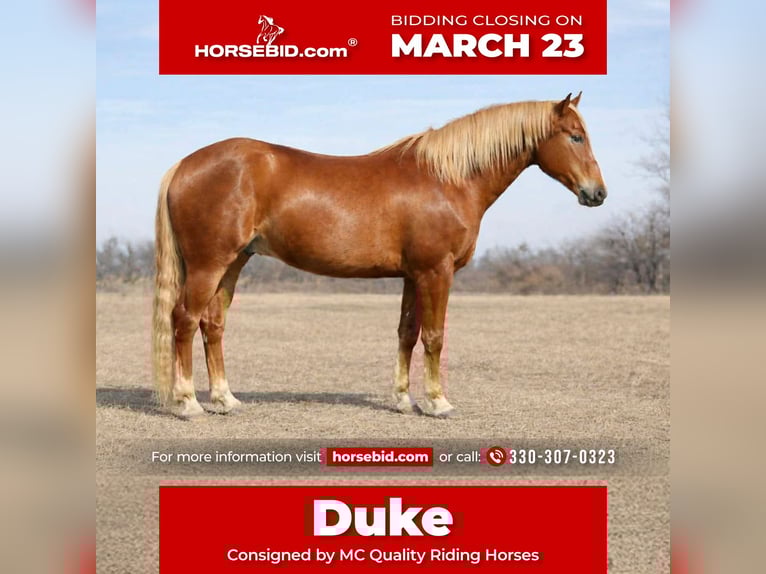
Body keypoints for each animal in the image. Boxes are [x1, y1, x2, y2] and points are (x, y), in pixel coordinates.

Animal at [152, 93, 607, 419]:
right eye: (575, 136)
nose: (597, 193)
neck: (448, 179)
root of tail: (183, 165)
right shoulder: (436, 272)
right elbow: (434, 336)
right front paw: (438, 403)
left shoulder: (412, 275)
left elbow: (407, 332)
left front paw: (404, 399)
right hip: (209, 265)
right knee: (184, 319)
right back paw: (188, 403)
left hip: (233, 263)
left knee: (213, 324)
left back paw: (225, 399)